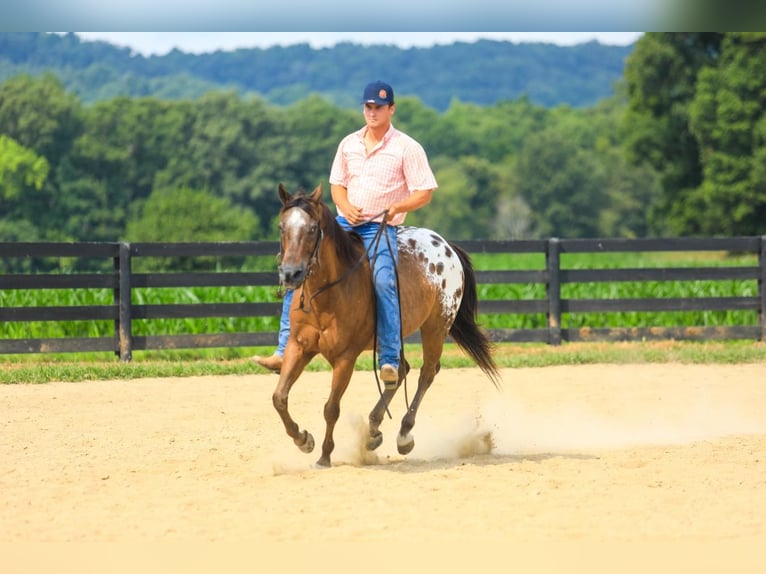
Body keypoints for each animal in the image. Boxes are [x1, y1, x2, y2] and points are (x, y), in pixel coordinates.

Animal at [272, 184, 504, 468]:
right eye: (282, 227)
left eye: (313, 228)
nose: (290, 274)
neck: (325, 296)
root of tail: (446, 246)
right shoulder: (298, 347)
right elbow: (279, 398)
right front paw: (303, 439)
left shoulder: (345, 358)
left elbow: (331, 408)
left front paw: (324, 456)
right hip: (394, 335)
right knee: (399, 371)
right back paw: (372, 430)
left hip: (436, 326)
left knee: (427, 373)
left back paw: (404, 435)